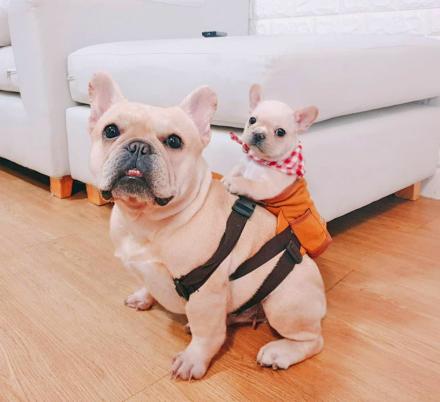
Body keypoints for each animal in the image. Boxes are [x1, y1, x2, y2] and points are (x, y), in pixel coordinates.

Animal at [87, 71, 324, 380]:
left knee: (313, 340)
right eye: (111, 131)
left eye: (174, 141)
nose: (138, 145)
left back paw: (280, 352)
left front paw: (193, 359)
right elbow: (148, 284)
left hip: (284, 301)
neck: (145, 220)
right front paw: (143, 296)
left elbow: (206, 333)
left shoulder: (205, 292)